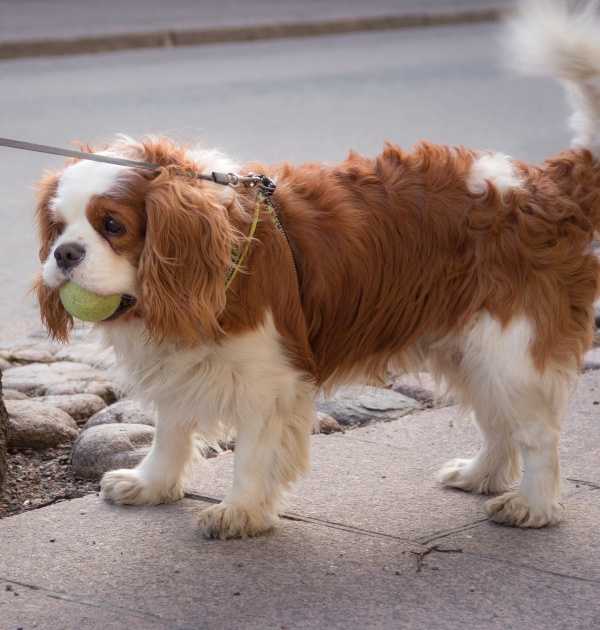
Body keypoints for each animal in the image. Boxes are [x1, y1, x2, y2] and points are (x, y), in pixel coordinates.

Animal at [35, 1, 600, 544]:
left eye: (112, 225)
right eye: (57, 227)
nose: (64, 254)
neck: (221, 252)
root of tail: (543, 184)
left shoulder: (270, 380)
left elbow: (251, 453)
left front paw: (240, 511)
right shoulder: (182, 366)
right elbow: (170, 430)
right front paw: (151, 484)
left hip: (511, 348)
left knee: (537, 434)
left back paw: (533, 505)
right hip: (469, 346)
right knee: (498, 420)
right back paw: (482, 475)